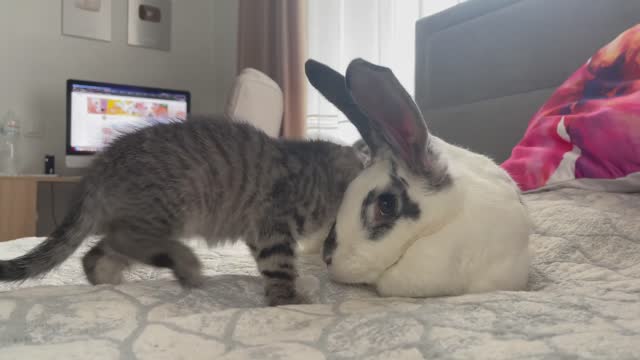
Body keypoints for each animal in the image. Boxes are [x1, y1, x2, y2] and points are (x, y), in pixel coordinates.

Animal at [0, 114, 364, 306]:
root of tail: (100, 166)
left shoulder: (258, 230)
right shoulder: (274, 221)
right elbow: (279, 265)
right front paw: (288, 298)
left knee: (97, 251)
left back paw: (108, 279)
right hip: (168, 205)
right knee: (124, 239)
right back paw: (185, 263)